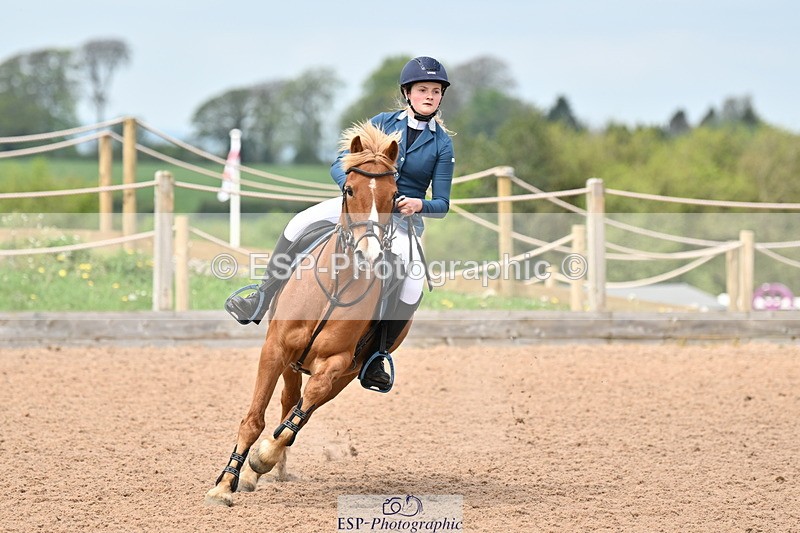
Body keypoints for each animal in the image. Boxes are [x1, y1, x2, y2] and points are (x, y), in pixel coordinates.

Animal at [205, 122, 408, 507]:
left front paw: (262, 458)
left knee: (299, 412)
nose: (370, 256)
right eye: (349, 189)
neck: (338, 282)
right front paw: (225, 484)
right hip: (291, 363)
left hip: (343, 375)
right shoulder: (276, 349)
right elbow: (254, 419)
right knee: (287, 402)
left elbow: (298, 415)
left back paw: (266, 464)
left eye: (395, 196)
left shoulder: (336, 364)